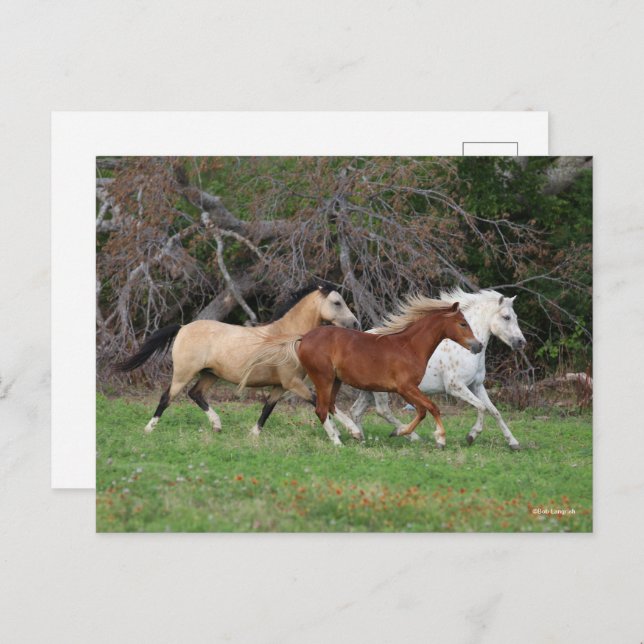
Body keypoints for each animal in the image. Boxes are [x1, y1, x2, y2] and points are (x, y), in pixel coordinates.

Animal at [116, 281, 362, 439]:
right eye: (337, 302)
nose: (355, 324)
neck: (287, 337)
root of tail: (183, 327)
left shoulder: (280, 385)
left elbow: (267, 409)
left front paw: (253, 435)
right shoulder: (292, 383)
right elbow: (319, 401)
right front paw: (351, 432)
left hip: (210, 374)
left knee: (195, 394)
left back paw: (217, 425)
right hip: (183, 374)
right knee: (166, 397)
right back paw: (149, 429)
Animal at [239, 296, 483, 446]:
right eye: (462, 324)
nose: (478, 346)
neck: (409, 347)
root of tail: (304, 337)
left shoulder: (407, 389)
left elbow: (424, 410)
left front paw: (400, 432)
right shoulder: (405, 388)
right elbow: (430, 408)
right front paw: (437, 438)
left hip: (336, 380)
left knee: (331, 406)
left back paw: (354, 432)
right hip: (324, 377)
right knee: (321, 409)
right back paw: (338, 441)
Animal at [350, 288, 526, 450]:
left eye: (516, 317)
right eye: (506, 317)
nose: (521, 342)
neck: (463, 348)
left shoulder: (476, 386)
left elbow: (494, 411)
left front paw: (513, 443)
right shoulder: (455, 387)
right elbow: (481, 407)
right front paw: (471, 436)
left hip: (369, 389)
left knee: (356, 411)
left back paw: (361, 439)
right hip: (381, 391)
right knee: (383, 411)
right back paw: (410, 436)